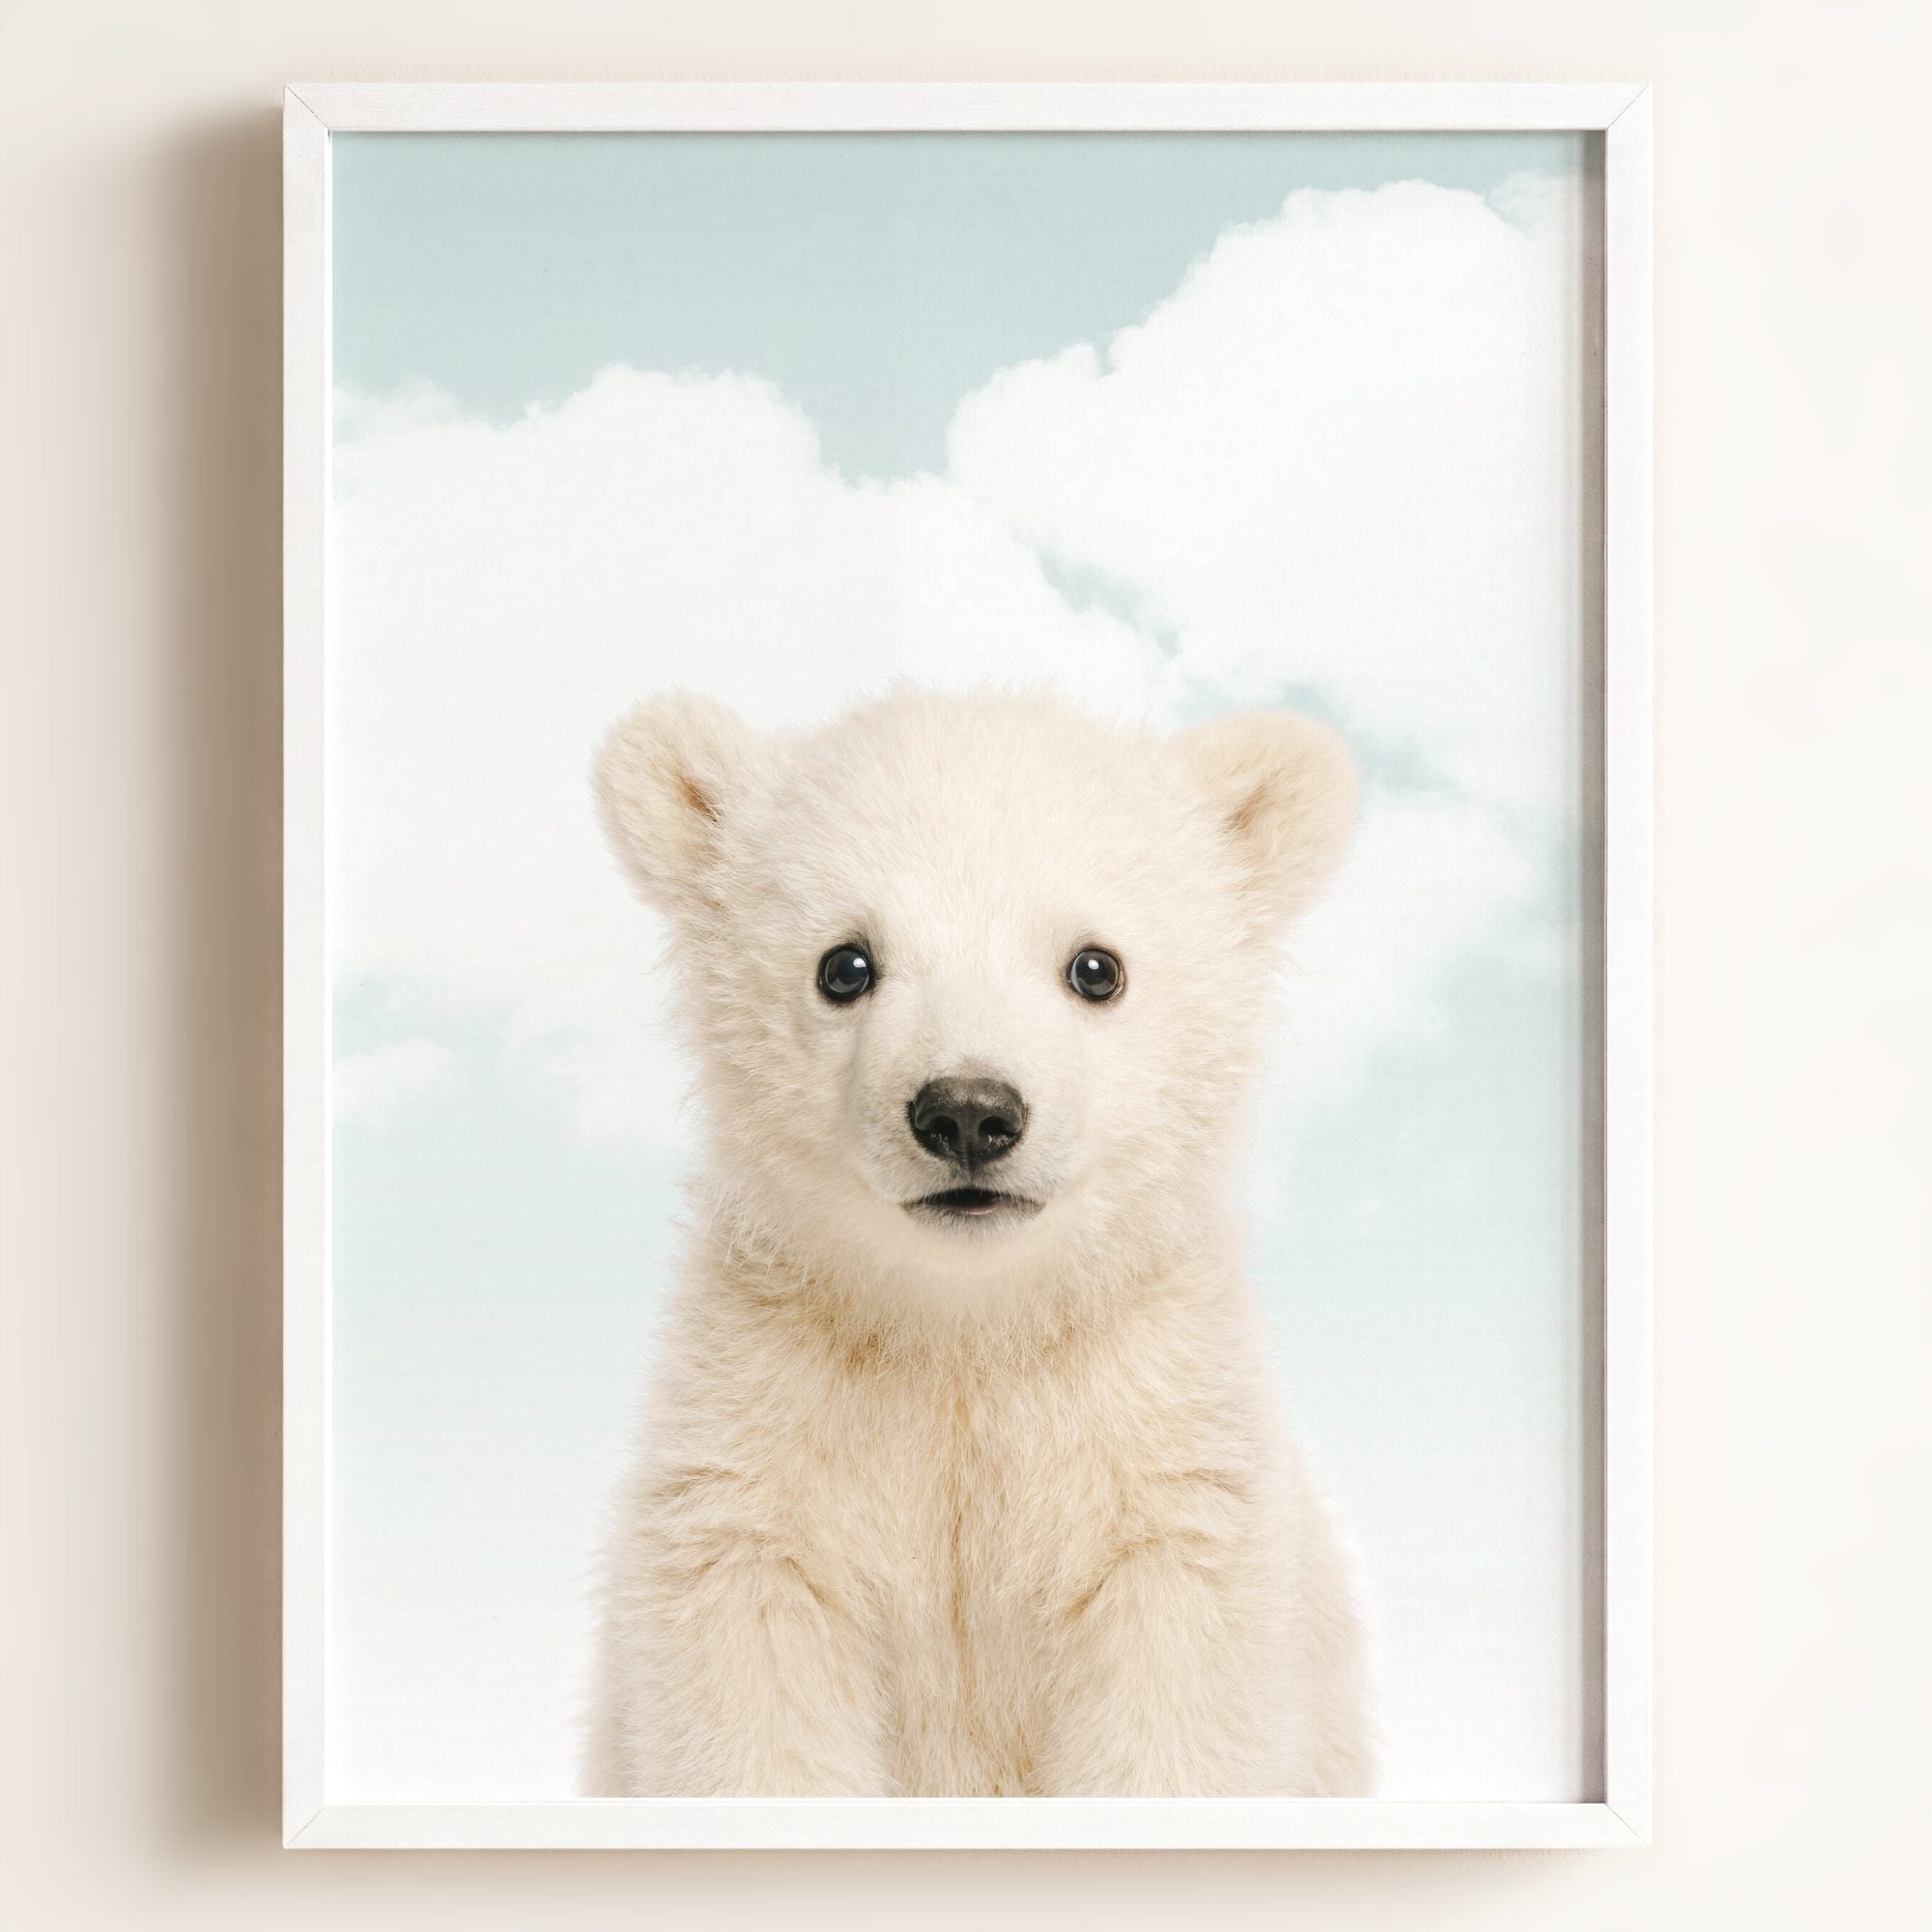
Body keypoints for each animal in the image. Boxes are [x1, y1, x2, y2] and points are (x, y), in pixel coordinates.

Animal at [581, 686, 1374, 1798]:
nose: (966, 1111)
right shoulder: (759, 1459)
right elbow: (754, 1704)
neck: (966, 1327)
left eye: (1095, 967)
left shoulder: (1161, 1469)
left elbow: (1176, 1715)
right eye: (844, 963)